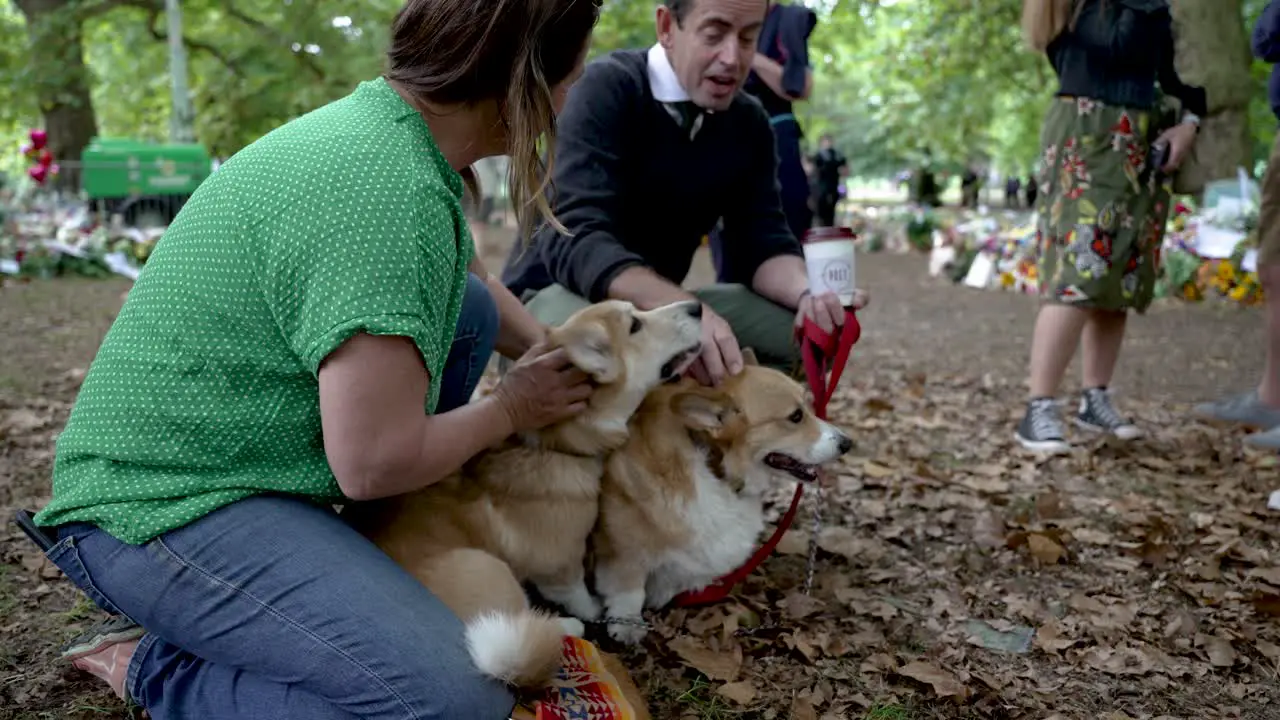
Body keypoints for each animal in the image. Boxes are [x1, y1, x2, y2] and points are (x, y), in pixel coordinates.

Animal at [348, 297, 701, 681]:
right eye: (634, 325)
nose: (697, 307)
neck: (551, 444)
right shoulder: (560, 562)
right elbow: (576, 591)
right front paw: (592, 610)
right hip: (490, 570)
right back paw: (566, 626)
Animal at [588, 351, 849, 638]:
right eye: (795, 416)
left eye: (808, 407)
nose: (847, 443)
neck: (716, 468)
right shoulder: (622, 550)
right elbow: (629, 589)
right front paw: (627, 625)